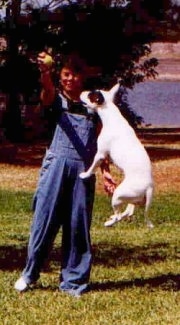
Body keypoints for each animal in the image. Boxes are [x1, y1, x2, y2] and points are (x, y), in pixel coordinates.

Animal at [79, 83, 154, 228]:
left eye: (90, 94)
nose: (81, 91)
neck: (111, 116)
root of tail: (148, 187)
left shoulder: (100, 154)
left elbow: (92, 167)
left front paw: (85, 174)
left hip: (117, 195)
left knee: (119, 215)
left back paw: (109, 222)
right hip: (132, 199)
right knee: (128, 211)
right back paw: (115, 216)